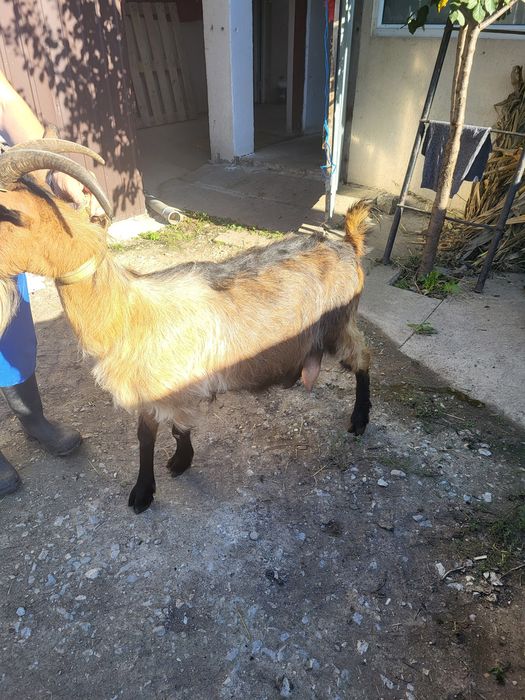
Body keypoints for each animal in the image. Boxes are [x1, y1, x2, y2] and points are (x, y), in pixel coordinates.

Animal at [0, 141, 371, 513]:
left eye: (4, 217)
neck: (127, 312)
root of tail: (347, 244)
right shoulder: (148, 391)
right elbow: (145, 437)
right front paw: (143, 490)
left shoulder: (177, 388)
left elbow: (179, 430)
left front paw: (179, 463)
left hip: (339, 324)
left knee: (363, 359)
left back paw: (359, 420)